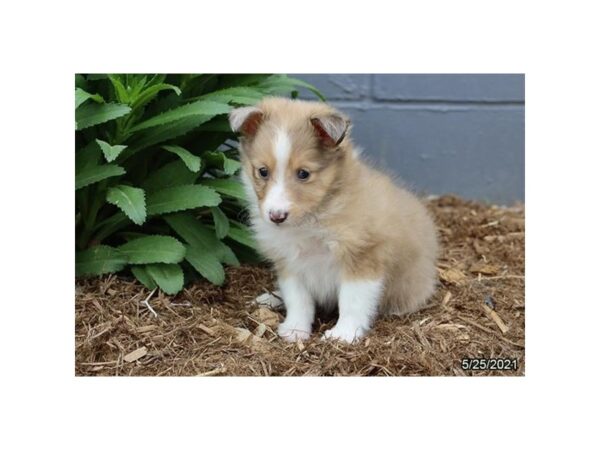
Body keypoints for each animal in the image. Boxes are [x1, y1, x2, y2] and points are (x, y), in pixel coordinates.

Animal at [227, 96, 438, 342]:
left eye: (303, 174)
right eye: (262, 171)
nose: (276, 216)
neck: (314, 218)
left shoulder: (362, 257)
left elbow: (352, 301)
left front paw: (343, 334)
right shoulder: (290, 262)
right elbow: (298, 299)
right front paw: (295, 329)